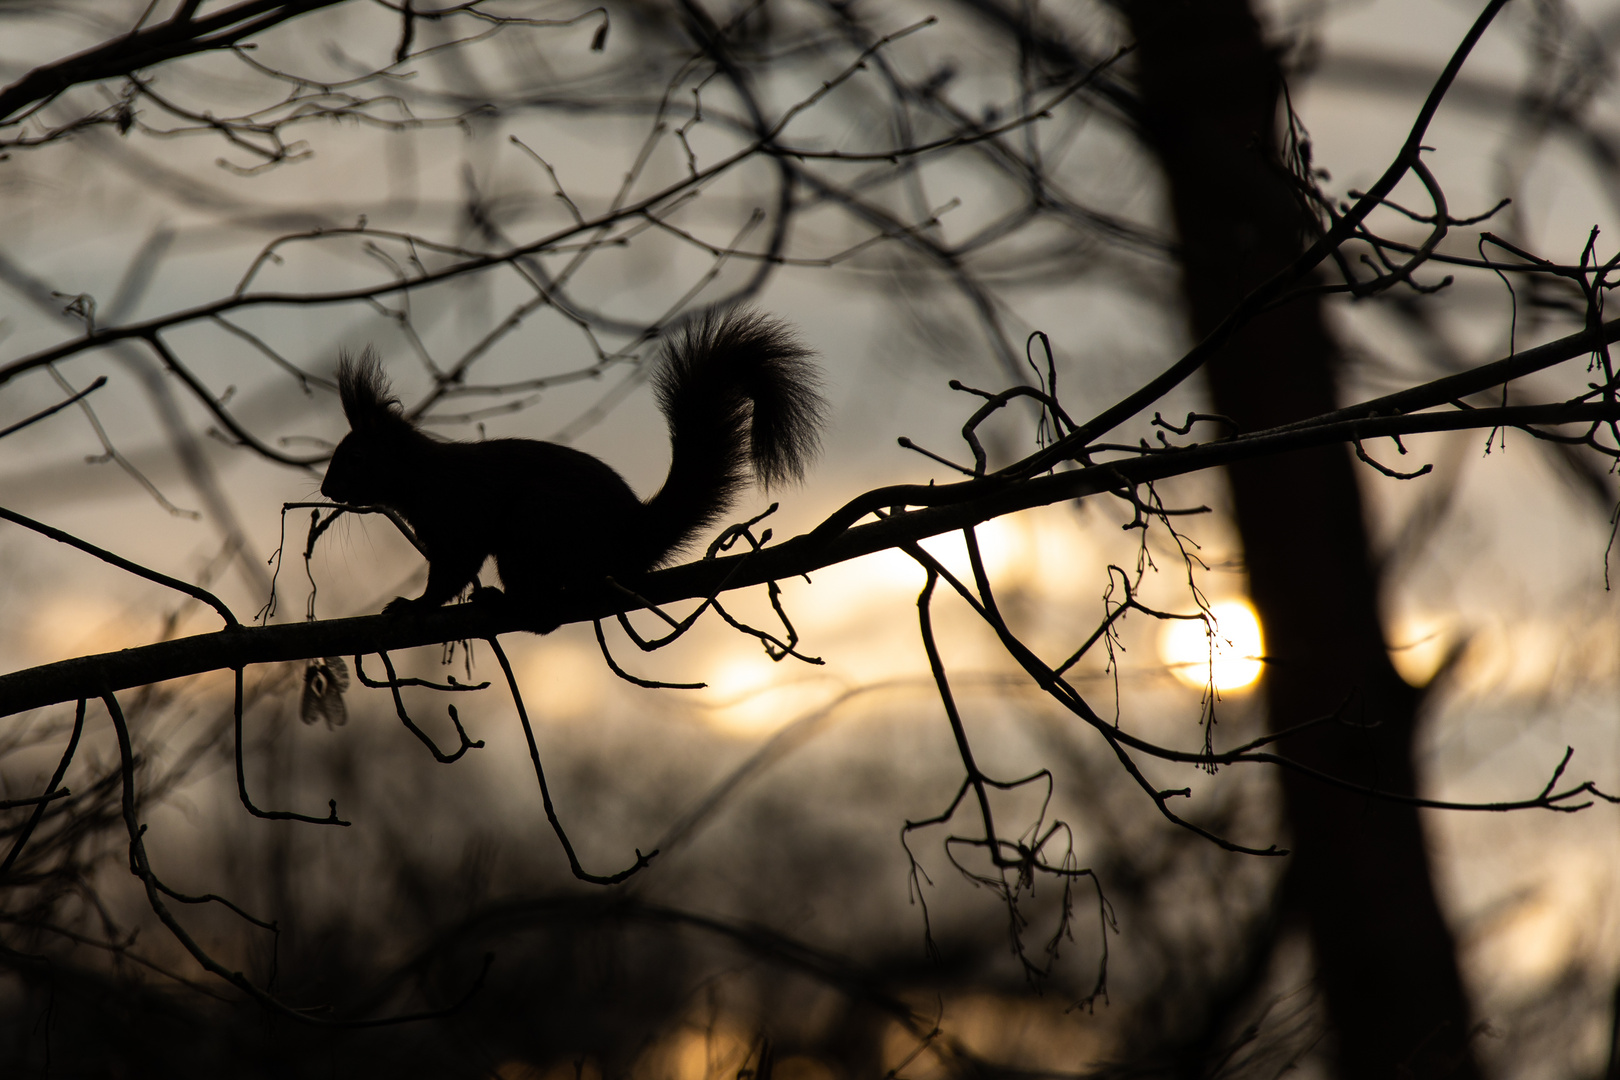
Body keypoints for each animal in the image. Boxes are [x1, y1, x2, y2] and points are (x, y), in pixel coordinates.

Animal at [319, 307, 822, 621]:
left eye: (356, 457)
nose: (325, 491)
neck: (421, 475)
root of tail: (632, 539)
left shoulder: (460, 518)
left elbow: (452, 571)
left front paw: (415, 605)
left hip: (532, 529)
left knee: (542, 608)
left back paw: (508, 604)